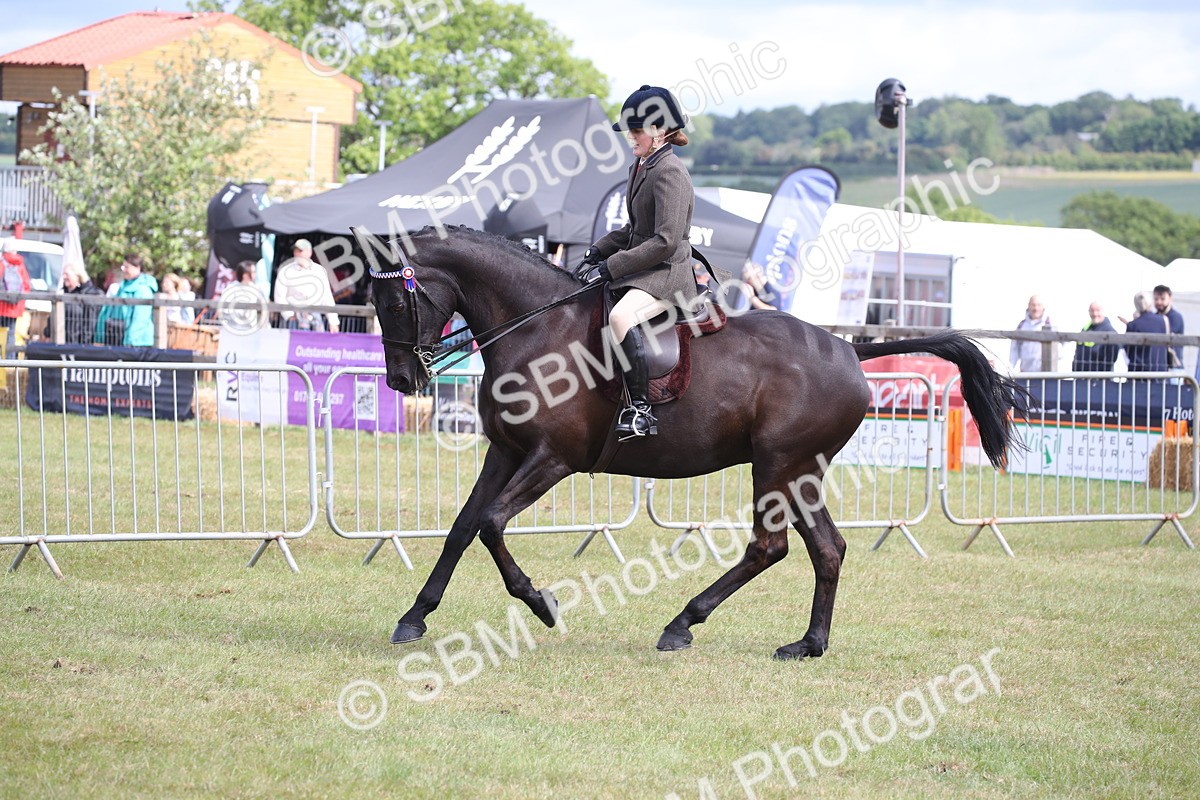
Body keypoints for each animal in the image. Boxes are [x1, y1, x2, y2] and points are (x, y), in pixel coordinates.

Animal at [369, 225, 1021, 659]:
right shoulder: (504, 451)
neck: (537, 328)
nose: (401, 379)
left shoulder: (552, 459)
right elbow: (463, 526)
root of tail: (848, 350)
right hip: (800, 472)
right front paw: (414, 617)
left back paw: (683, 622)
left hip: (777, 466)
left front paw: (540, 603)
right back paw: (807, 643)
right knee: (826, 548)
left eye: (396, 298)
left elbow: (493, 523)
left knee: (770, 547)